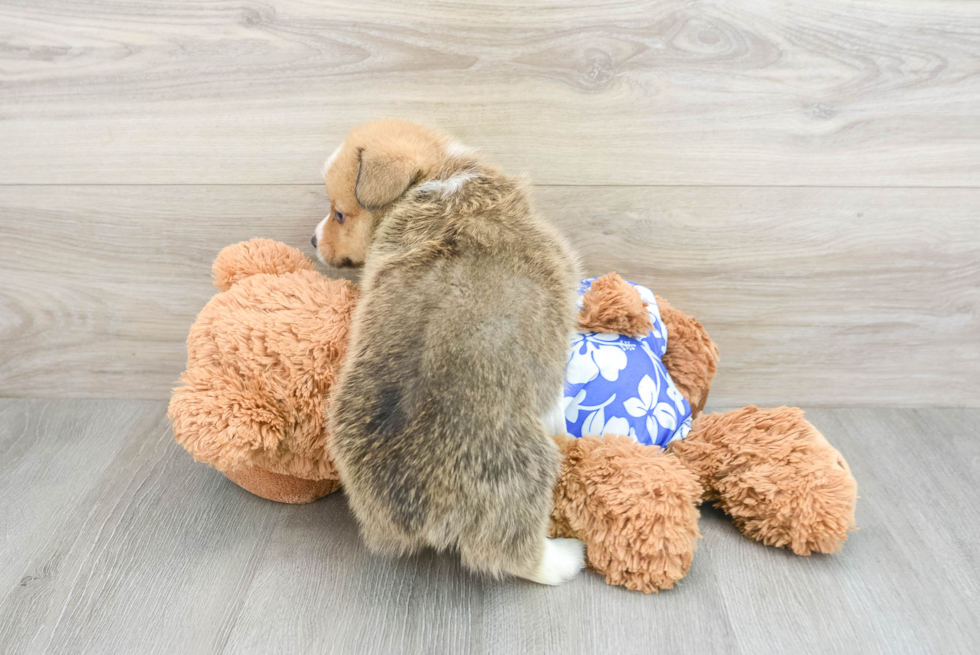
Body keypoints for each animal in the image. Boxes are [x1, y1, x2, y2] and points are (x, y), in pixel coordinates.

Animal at [318, 121, 584, 584]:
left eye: (338, 214)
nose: (311, 238)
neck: (440, 179)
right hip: (526, 471)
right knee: (513, 554)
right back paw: (566, 557)